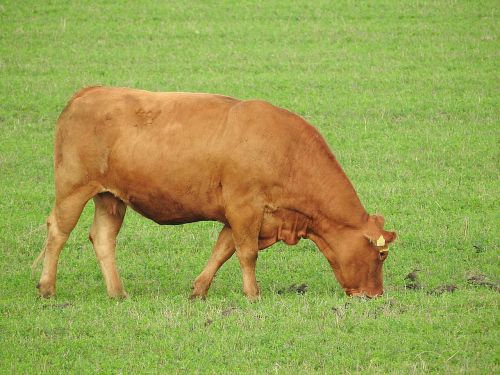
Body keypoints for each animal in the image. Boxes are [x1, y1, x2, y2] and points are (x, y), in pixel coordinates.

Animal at [33, 86, 396, 302]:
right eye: (381, 255)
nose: (375, 294)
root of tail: (91, 92)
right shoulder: (244, 208)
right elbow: (247, 253)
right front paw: (253, 295)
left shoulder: (239, 216)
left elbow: (223, 250)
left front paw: (199, 290)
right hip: (73, 189)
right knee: (58, 233)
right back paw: (47, 288)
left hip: (111, 198)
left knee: (103, 238)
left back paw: (118, 293)